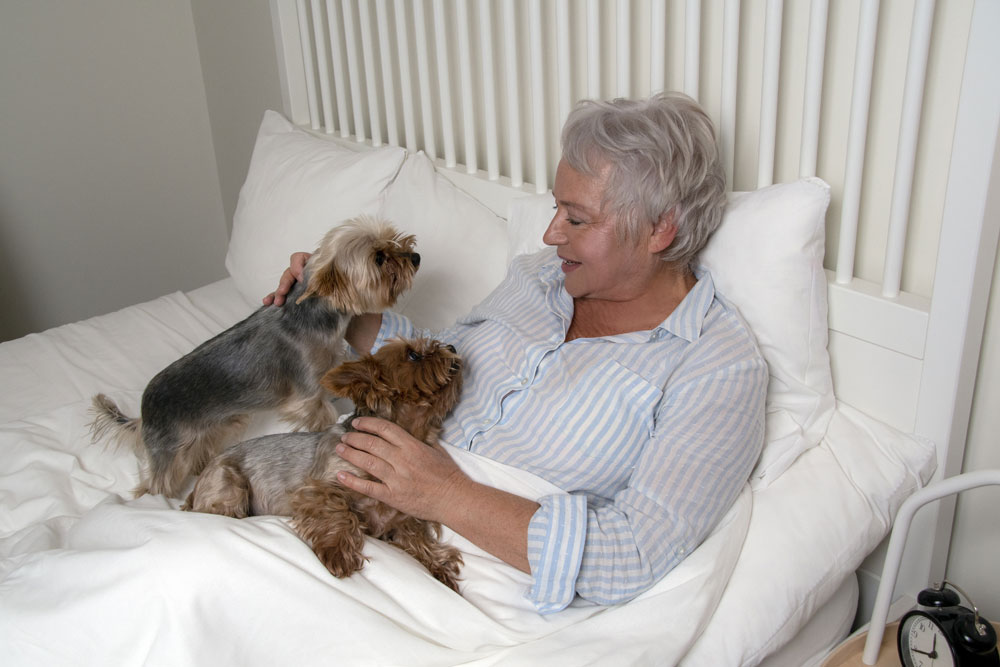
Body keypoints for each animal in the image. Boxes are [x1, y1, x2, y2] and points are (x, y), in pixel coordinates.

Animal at [90, 217, 418, 498]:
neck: (314, 314)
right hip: (170, 451)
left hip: (216, 426)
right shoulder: (309, 395)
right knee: (156, 485)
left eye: (392, 239)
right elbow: (319, 416)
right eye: (379, 258)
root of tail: (143, 413)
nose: (415, 257)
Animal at [184, 340, 464, 588]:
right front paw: (336, 551)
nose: (452, 347)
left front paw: (440, 566)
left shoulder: (400, 518)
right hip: (229, 483)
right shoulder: (319, 488)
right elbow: (340, 511)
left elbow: (419, 538)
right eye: (413, 355)